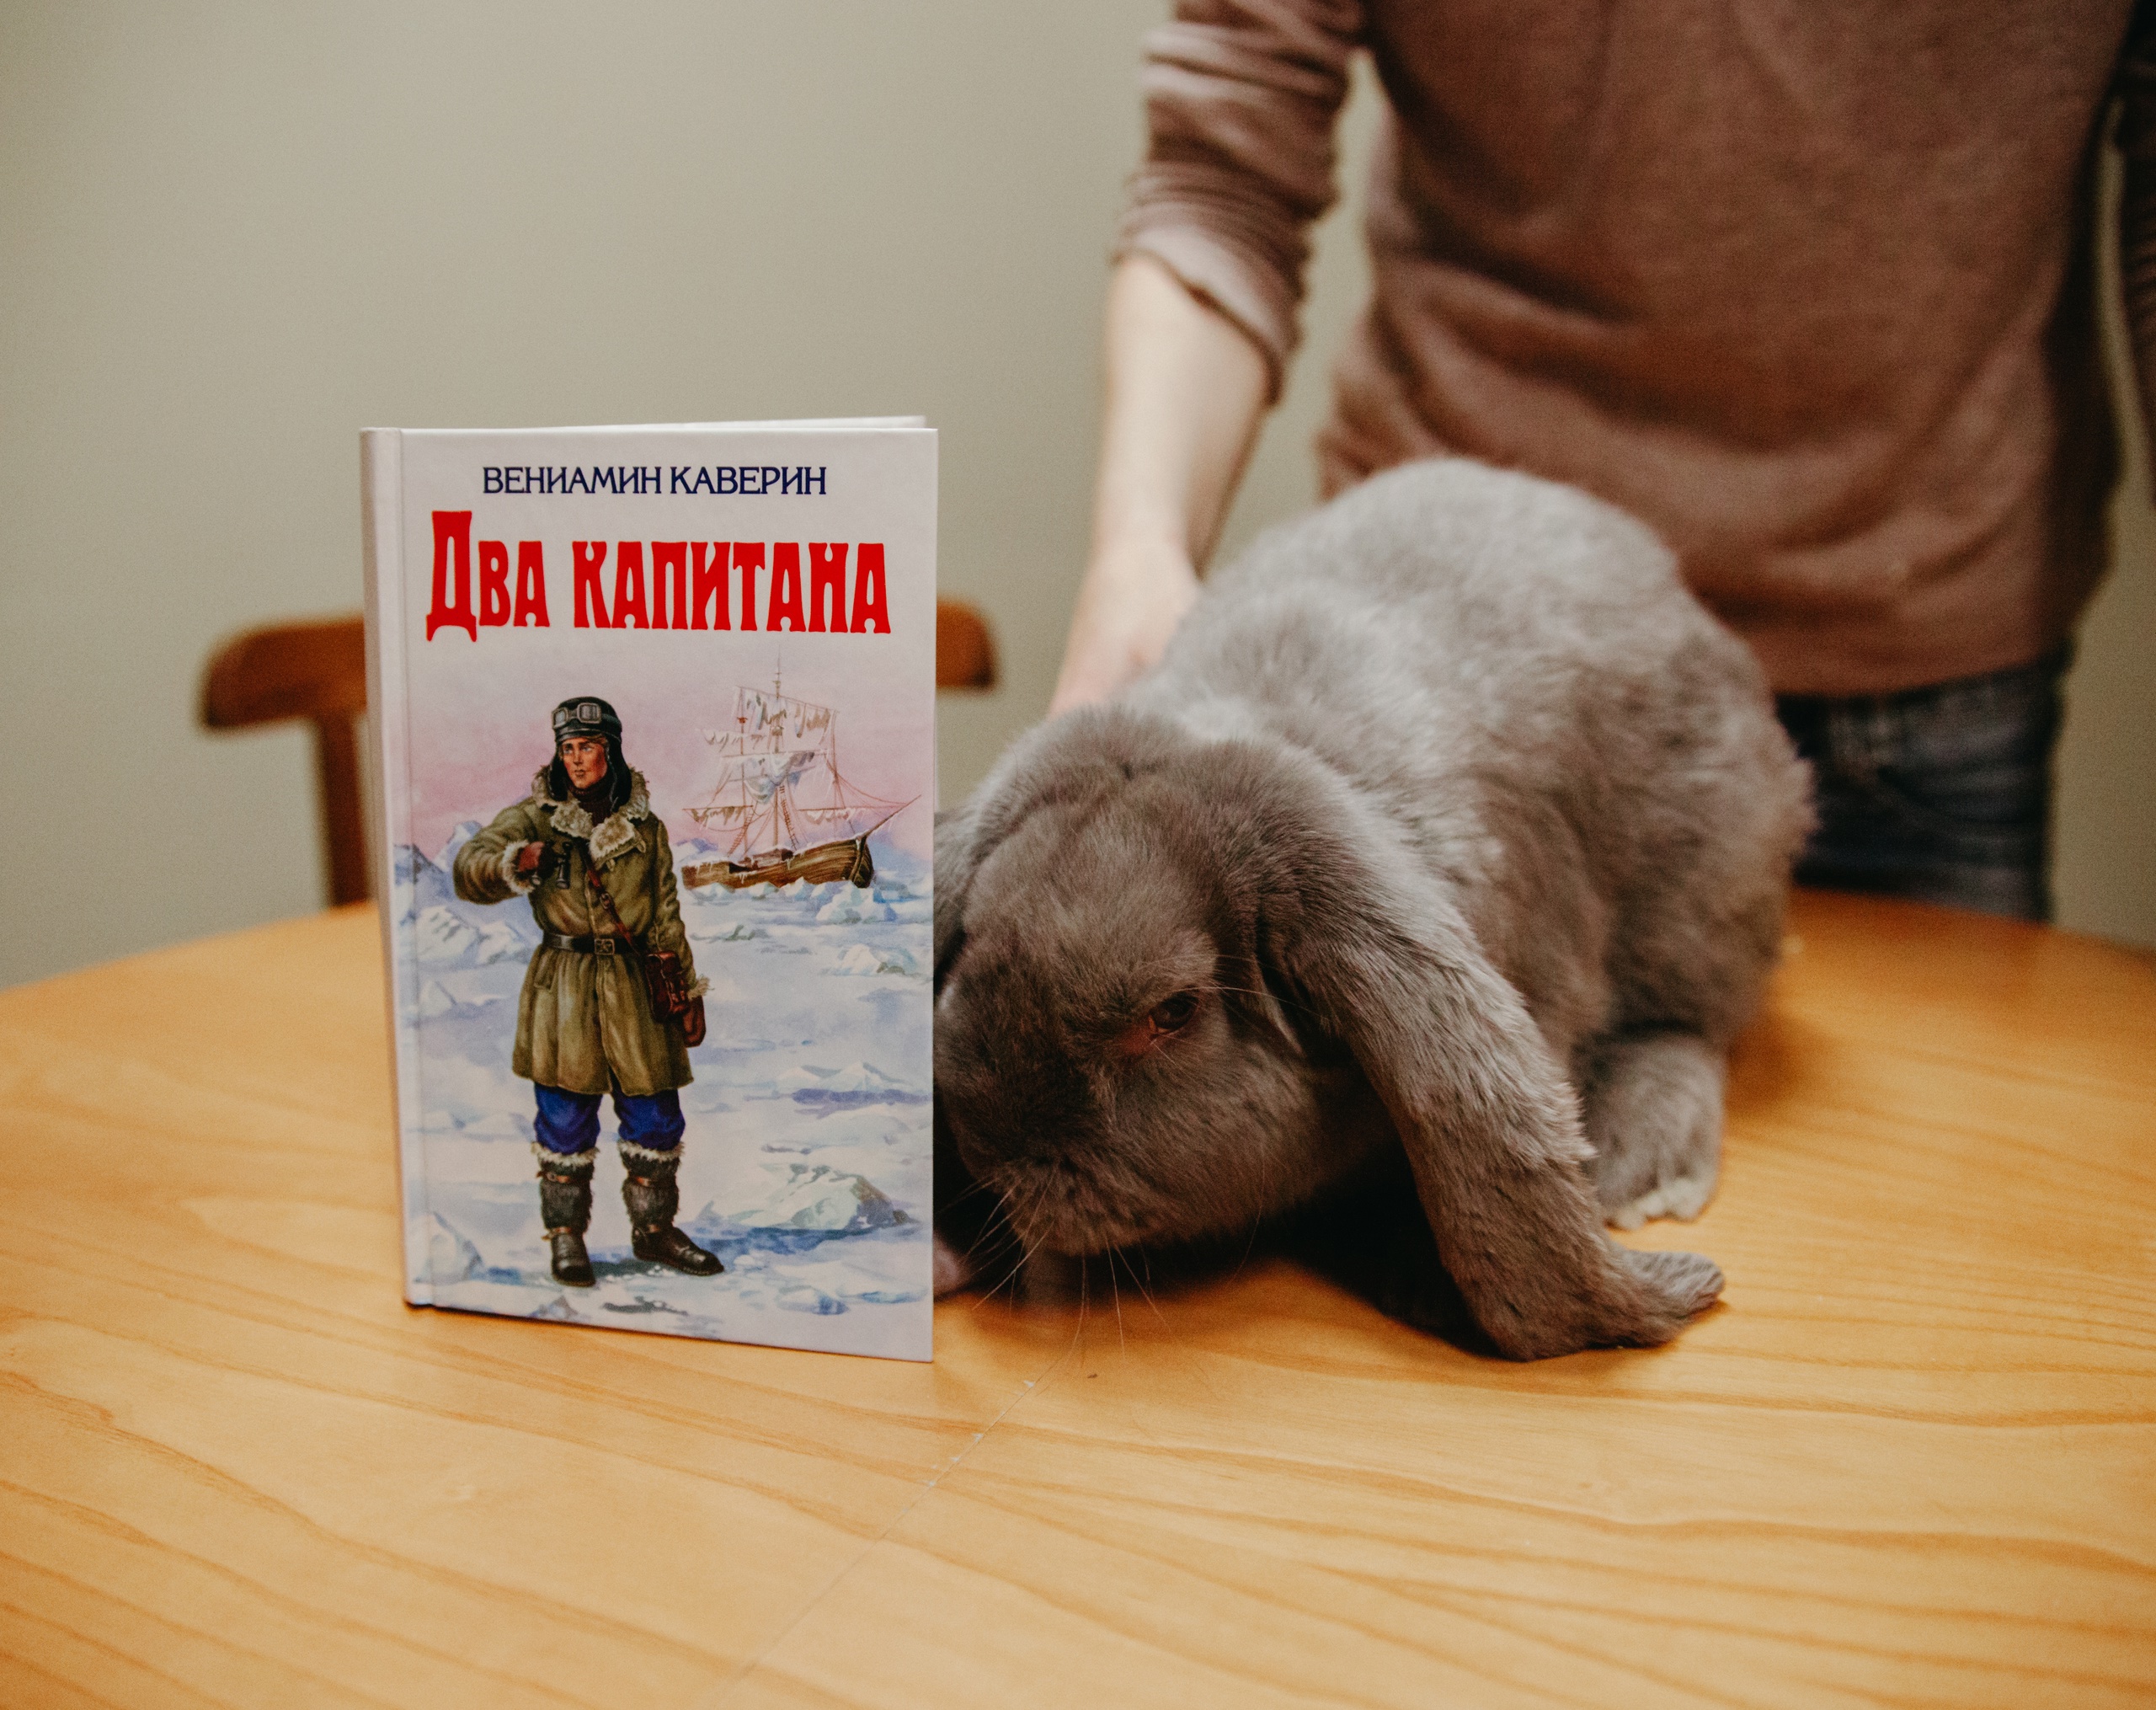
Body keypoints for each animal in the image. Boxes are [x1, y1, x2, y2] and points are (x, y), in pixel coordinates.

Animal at [933, 458, 1813, 1359]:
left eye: (1172, 1013)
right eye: (969, 949)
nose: (996, 1159)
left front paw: (1421, 1277)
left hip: (1710, 878)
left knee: (1687, 1024)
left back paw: (1643, 1167)